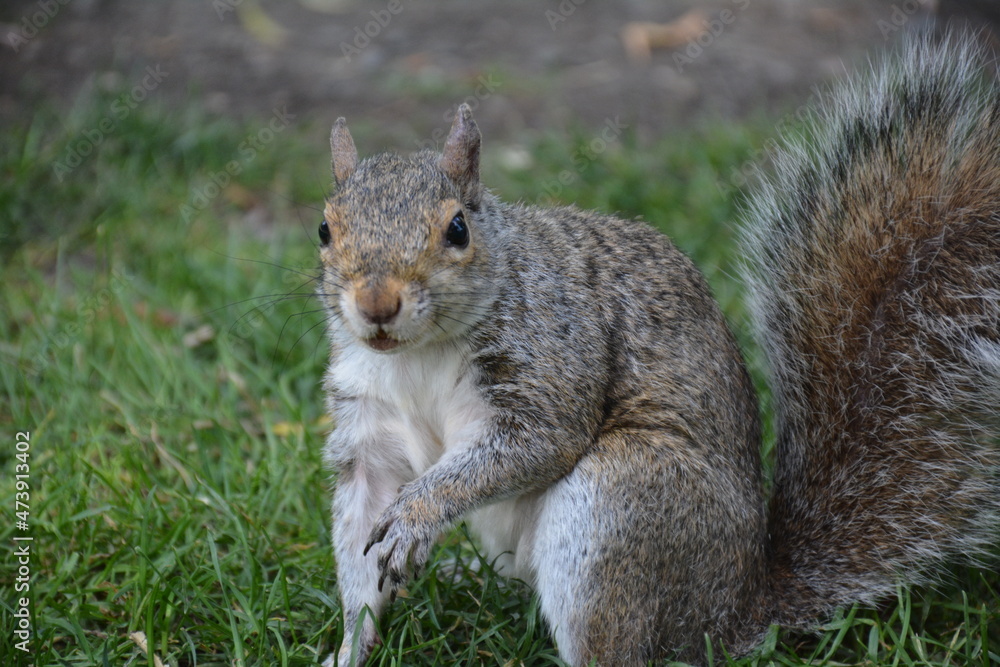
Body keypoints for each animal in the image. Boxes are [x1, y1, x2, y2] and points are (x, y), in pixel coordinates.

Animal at [316, 31, 1000, 667]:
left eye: (457, 228)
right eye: (324, 228)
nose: (376, 304)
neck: (416, 355)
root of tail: (737, 609)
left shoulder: (553, 358)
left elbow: (536, 441)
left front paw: (417, 515)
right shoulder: (368, 424)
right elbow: (362, 531)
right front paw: (350, 646)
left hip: (620, 503)